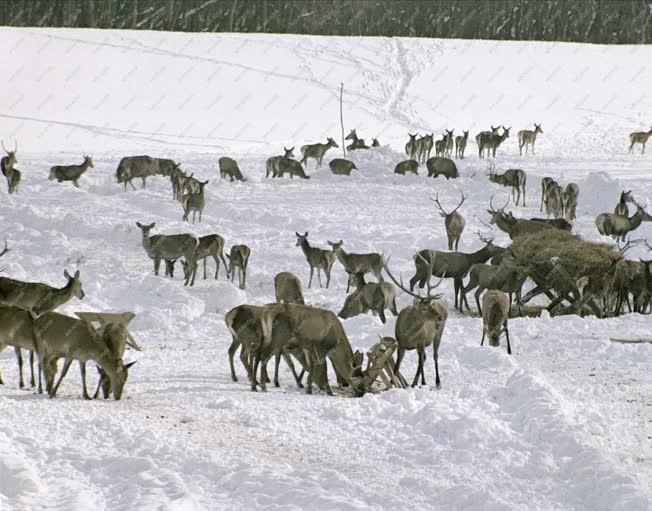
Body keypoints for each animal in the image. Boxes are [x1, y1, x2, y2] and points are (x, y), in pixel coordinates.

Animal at [382, 256, 448, 388]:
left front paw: (423, 383)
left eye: (431, 305)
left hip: (438, 334)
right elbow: (396, 368)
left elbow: (421, 364)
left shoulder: (421, 342)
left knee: (434, 356)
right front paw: (392, 384)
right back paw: (414, 383)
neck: (409, 336)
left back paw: (437, 382)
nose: (441, 317)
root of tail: (444, 308)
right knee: (425, 358)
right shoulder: (401, 345)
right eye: (424, 308)